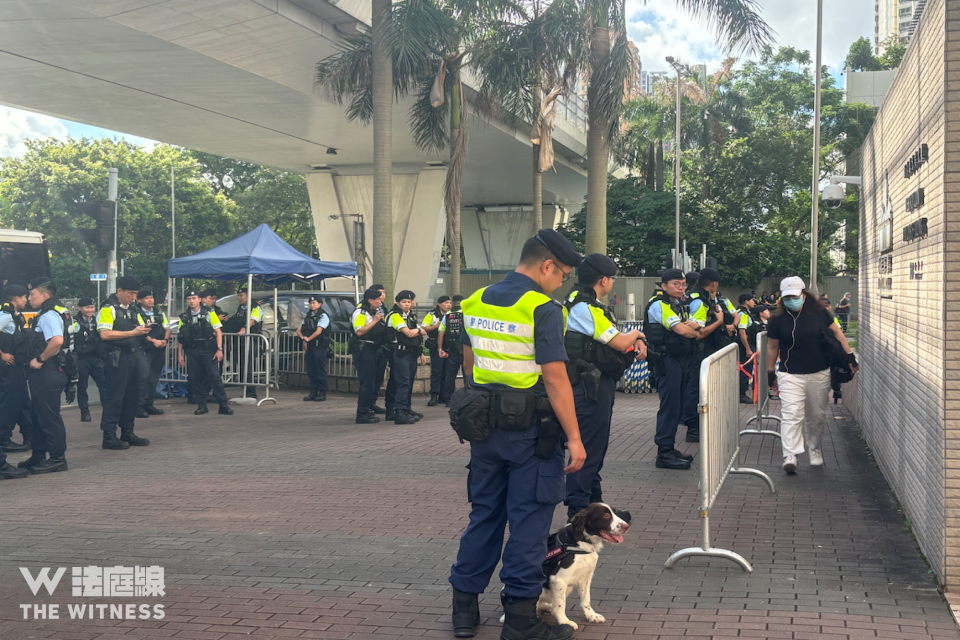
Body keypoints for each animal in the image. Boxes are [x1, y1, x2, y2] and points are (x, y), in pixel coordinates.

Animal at [502, 502, 632, 628]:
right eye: (606, 515)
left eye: (615, 513)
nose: (626, 526)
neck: (579, 544)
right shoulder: (558, 579)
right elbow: (560, 605)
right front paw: (565, 621)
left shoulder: (585, 577)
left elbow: (586, 599)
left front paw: (591, 615)